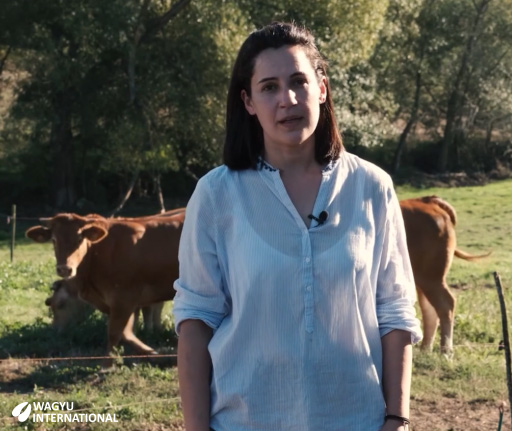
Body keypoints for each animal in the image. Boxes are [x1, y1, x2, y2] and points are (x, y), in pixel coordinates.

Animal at [26, 212, 185, 358]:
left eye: (80, 239)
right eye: (54, 240)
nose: (65, 268)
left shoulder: (124, 298)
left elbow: (116, 332)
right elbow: (126, 331)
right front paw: (147, 349)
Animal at [400, 197, 488, 356]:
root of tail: (426, 200)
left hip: (431, 276)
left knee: (445, 304)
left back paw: (445, 351)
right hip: (424, 278)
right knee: (430, 309)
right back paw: (425, 350)